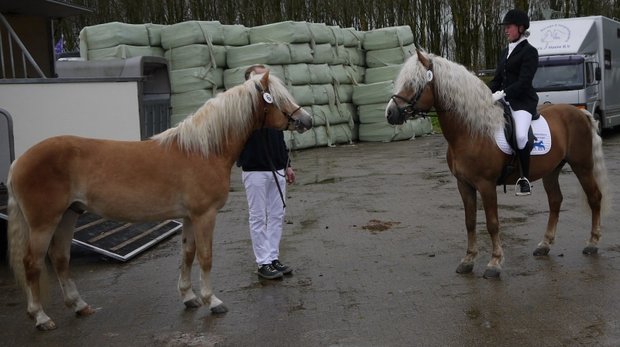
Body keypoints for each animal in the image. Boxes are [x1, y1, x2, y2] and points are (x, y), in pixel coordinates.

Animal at [7, 71, 312, 332]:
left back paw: (79, 305)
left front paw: (188, 297)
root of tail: (18, 162)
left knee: (60, 258)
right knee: (32, 263)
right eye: (278, 98)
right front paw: (211, 300)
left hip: (69, 215)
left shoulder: (189, 217)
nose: (307, 120)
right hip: (44, 223)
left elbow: (187, 254)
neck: (202, 151)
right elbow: (205, 257)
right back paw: (41, 317)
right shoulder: (205, 215)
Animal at [386, 49, 608, 278]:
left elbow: (492, 223)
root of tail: (579, 112)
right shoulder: (463, 184)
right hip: (552, 170)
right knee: (555, 201)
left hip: (582, 166)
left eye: (414, 83)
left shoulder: (486, 184)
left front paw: (494, 263)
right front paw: (468, 260)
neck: (470, 131)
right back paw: (545, 245)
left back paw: (592, 243)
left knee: (594, 197)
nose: (390, 113)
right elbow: (470, 222)